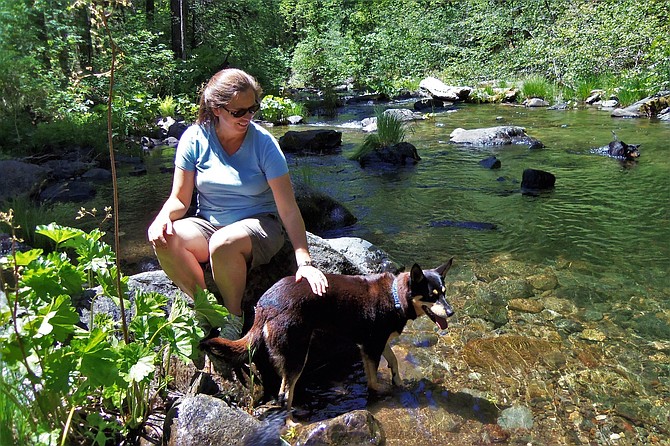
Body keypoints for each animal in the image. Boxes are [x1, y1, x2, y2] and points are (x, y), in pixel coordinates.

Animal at [198, 260, 452, 416]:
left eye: (444, 293)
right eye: (432, 296)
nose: (450, 312)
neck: (395, 296)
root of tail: (263, 304)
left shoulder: (374, 343)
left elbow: (394, 361)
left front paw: (398, 382)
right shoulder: (371, 347)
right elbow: (372, 382)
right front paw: (382, 393)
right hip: (297, 354)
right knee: (284, 394)